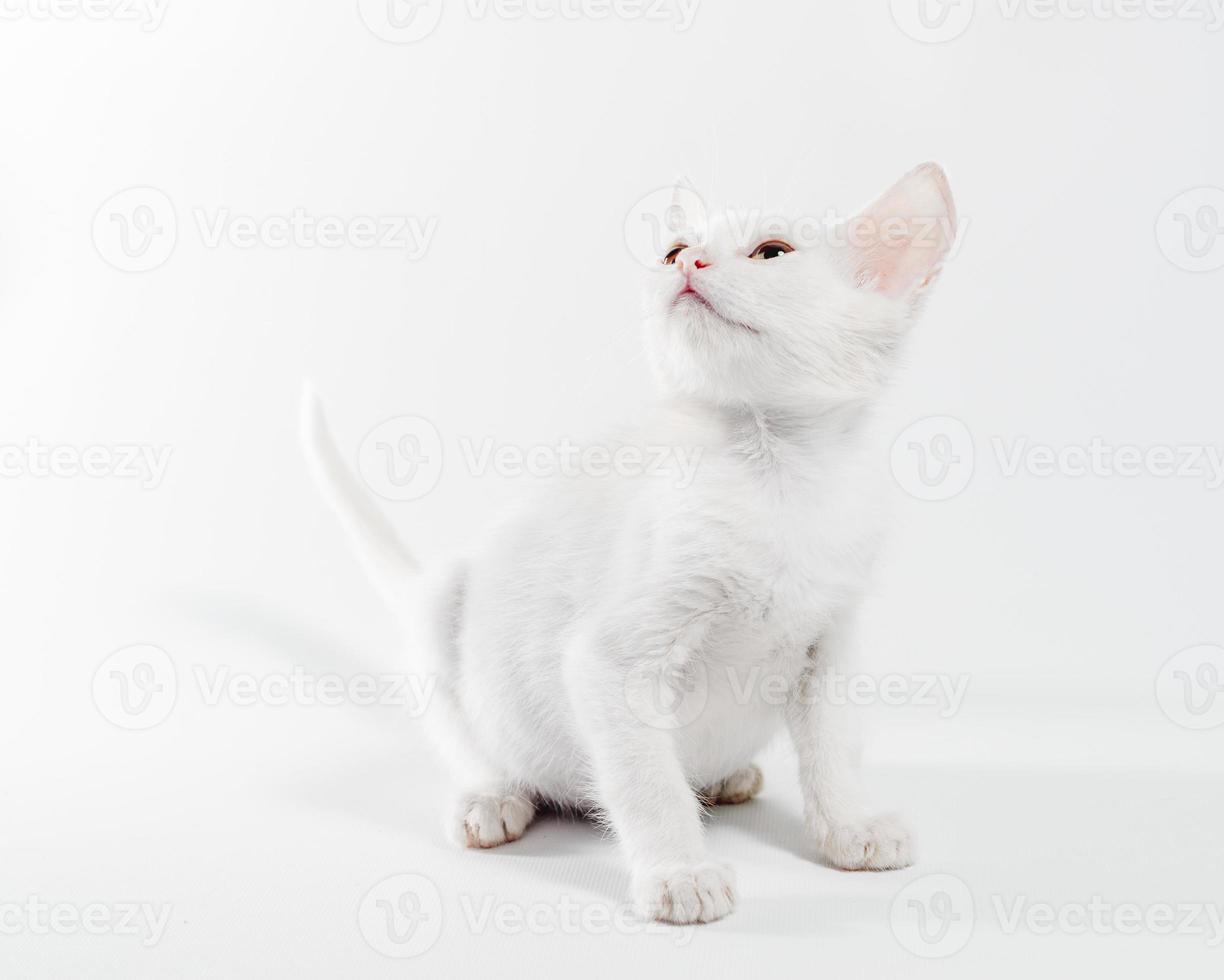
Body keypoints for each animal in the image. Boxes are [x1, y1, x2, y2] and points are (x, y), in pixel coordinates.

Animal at [298, 162, 954, 924]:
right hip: (443, 605)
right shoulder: (610, 661)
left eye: (772, 252)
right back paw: (492, 797)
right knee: (468, 739)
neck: (774, 477)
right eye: (673, 251)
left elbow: (836, 752)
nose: (690, 265)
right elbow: (647, 781)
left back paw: (727, 777)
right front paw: (679, 873)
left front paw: (852, 829)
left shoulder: (833, 644)